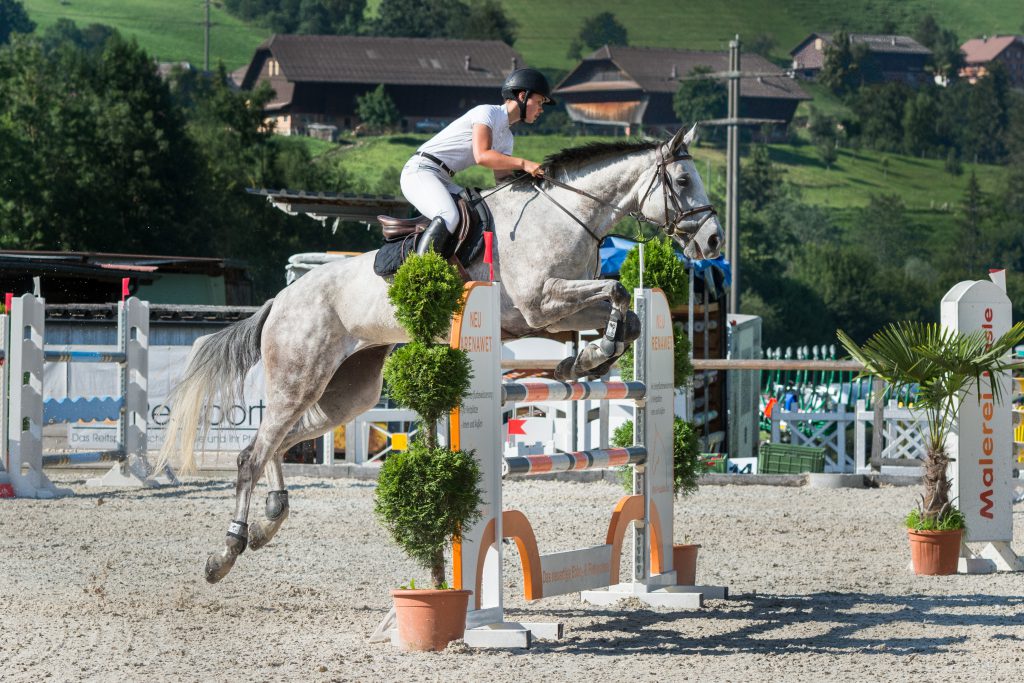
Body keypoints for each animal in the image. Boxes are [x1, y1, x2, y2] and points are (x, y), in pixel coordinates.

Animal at [156, 126, 723, 584]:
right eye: (682, 181)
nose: (713, 241)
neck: (565, 215)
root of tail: (282, 299)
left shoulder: (556, 310)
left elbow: (626, 311)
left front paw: (588, 360)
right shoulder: (541, 303)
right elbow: (619, 291)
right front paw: (590, 357)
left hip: (349, 392)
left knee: (280, 443)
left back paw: (269, 521)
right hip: (300, 375)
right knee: (252, 454)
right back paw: (227, 551)